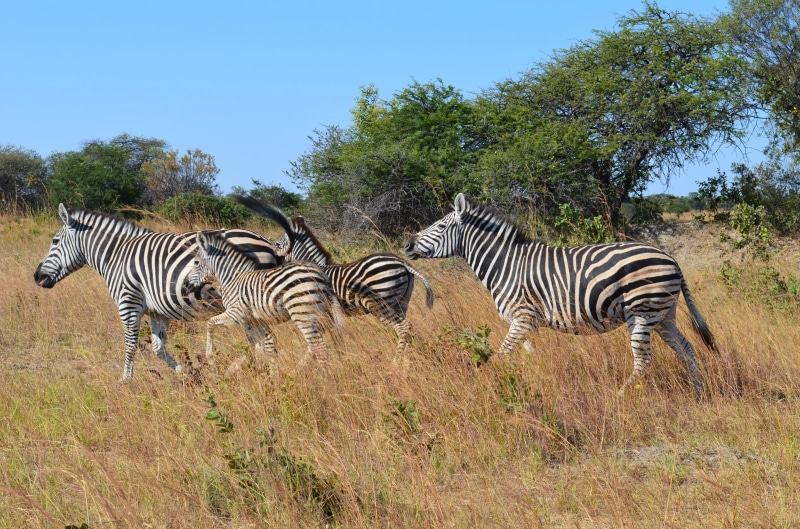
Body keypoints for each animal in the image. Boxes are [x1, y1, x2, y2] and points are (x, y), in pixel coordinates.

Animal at [33, 203, 283, 381]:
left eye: (55, 241)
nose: (37, 277)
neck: (116, 255)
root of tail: (267, 241)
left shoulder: (128, 304)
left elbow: (130, 344)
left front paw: (125, 381)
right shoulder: (157, 311)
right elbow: (157, 348)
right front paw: (188, 374)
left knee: (265, 340)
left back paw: (268, 375)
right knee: (259, 341)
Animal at [185, 230, 344, 372]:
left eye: (196, 262)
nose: (186, 286)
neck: (232, 278)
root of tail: (320, 274)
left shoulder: (236, 314)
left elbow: (210, 323)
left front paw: (210, 357)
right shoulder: (256, 321)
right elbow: (265, 349)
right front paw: (270, 376)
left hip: (302, 312)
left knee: (319, 347)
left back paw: (326, 378)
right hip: (322, 313)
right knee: (323, 343)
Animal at [232, 194, 434, 354]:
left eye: (278, 243)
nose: (271, 257)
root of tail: (402, 262)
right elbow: (336, 338)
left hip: (382, 302)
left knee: (402, 327)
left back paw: (397, 362)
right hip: (401, 302)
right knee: (407, 328)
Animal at [404, 193, 715, 395]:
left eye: (440, 226)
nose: (407, 245)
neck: (506, 263)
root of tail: (670, 257)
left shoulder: (522, 317)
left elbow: (502, 355)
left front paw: (491, 384)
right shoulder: (524, 323)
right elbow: (529, 355)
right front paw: (536, 381)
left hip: (642, 313)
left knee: (643, 361)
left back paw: (620, 396)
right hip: (664, 315)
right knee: (686, 348)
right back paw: (699, 393)